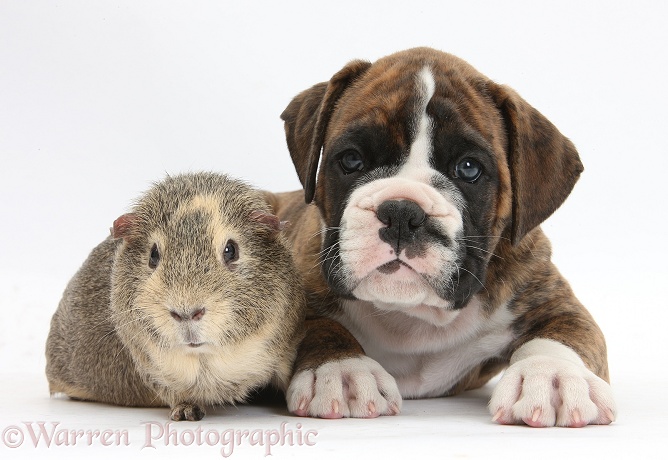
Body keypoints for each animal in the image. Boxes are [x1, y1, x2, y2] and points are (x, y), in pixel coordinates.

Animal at [266, 47, 616, 428]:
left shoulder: (552, 300)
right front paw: (341, 370)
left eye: (469, 168)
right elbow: (319, 326)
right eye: (352, 159)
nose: (401, 213)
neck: (415, 314)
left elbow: (563, 333)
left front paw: (552, 374)